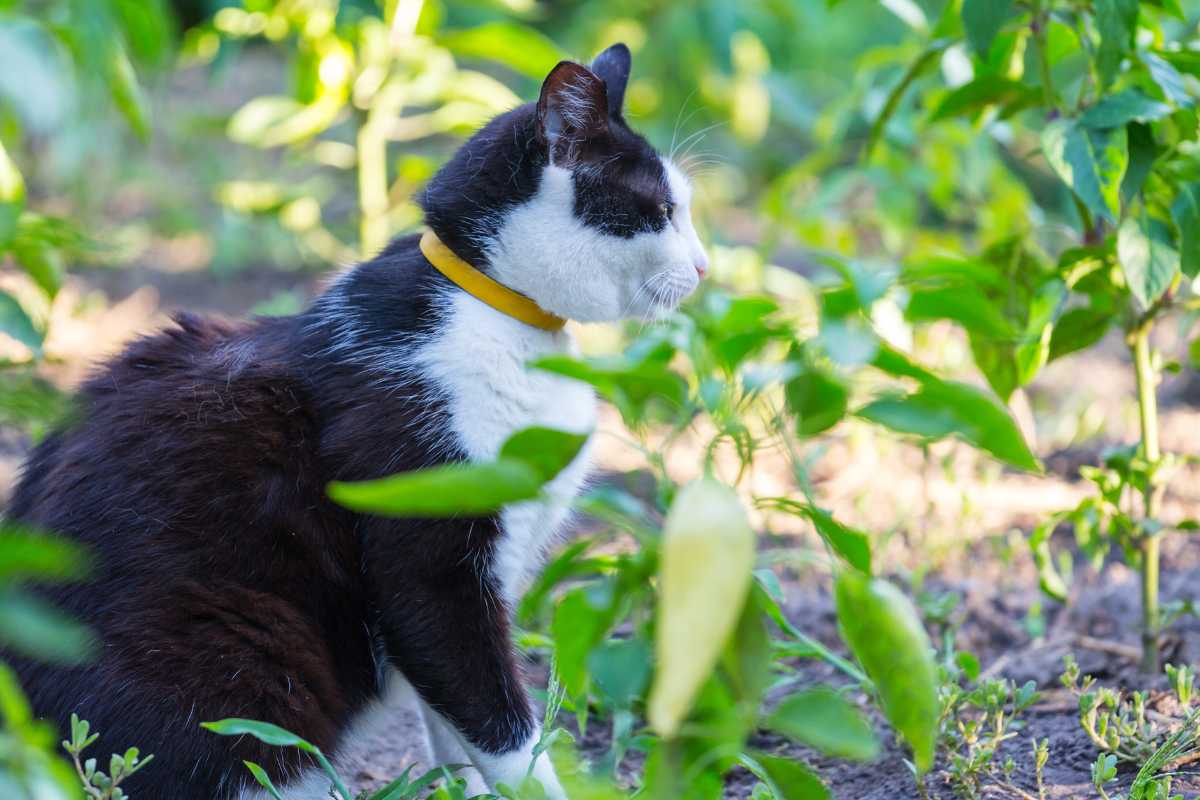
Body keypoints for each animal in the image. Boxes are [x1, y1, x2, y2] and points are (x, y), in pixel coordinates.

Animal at [2, 45, 700, 800]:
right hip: (242, 657)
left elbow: (452, 723)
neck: (496, 311)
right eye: (662, 211)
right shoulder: (428, 555)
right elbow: (502, 726)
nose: (703, 266)